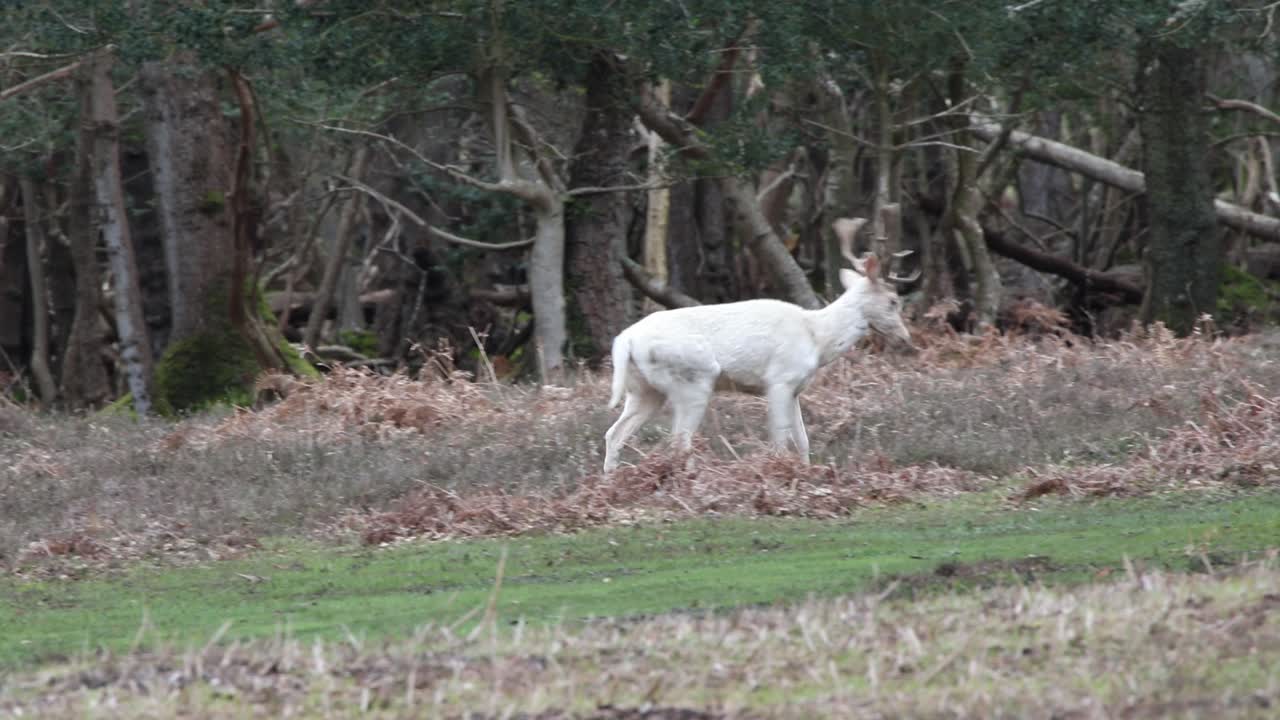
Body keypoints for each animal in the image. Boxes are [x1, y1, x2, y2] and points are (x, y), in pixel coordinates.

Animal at [602, 217, 919, 474]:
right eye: (893, 301)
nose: (906, 338)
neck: (817, 337)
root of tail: (625, 340)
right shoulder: (778, 379)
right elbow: (780, 438)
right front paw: (778, 474)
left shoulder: (795, 388)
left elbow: (803, 440)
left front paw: (806, 473)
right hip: (693, 380)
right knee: (680, 440)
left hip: (644, 389)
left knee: (614, 433)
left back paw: (610, 480)